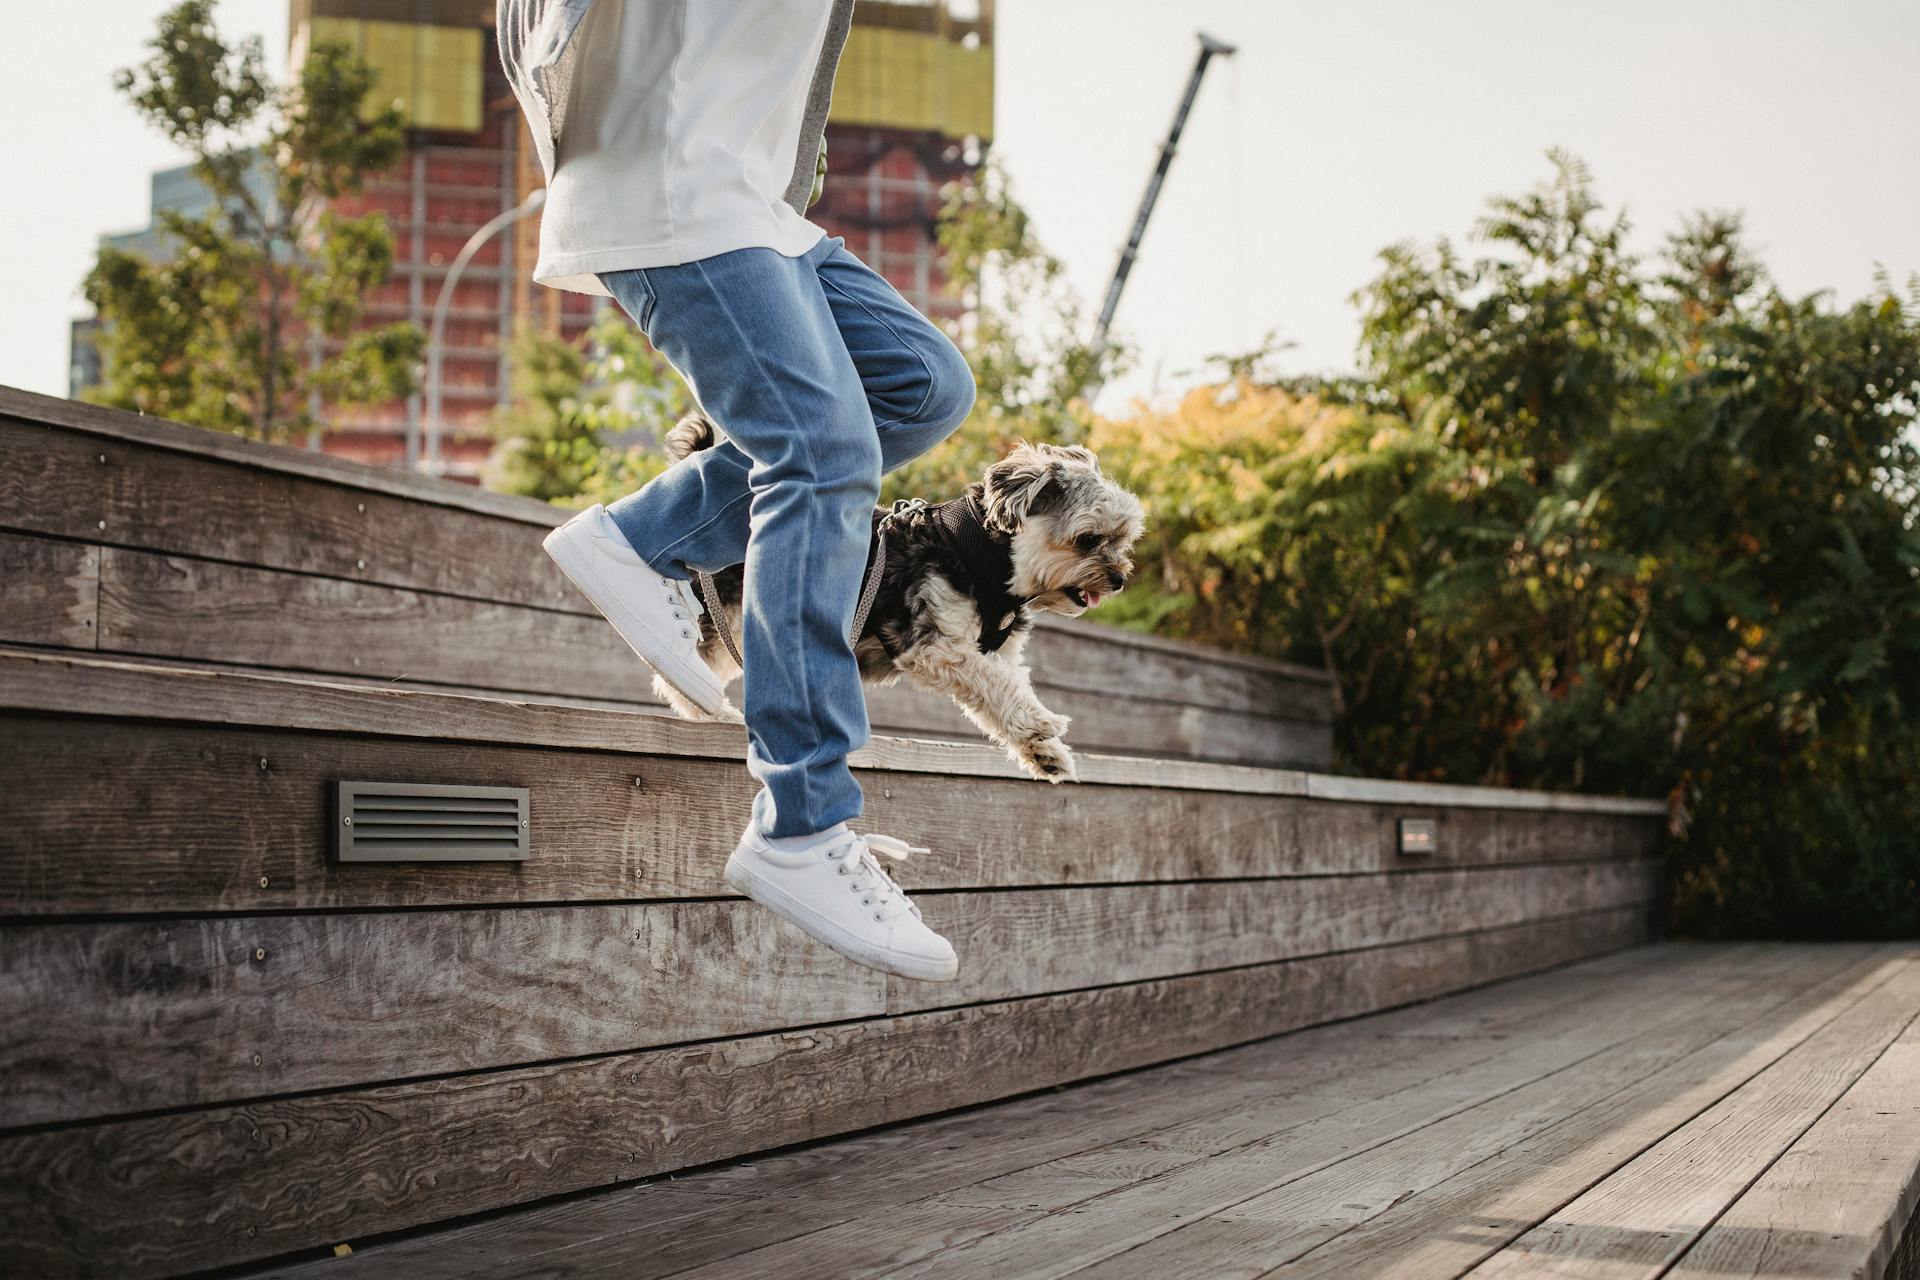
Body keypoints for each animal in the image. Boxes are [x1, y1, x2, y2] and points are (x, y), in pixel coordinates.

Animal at [652, 416, 1144, 786]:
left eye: (1125, 540)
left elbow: (1002, 692)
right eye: (1087, 539)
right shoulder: (935, 646)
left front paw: (1044, 752)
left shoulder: (991, 652)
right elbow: (998, 686)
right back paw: (712, 710)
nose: (1119, 579)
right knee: (679, 670)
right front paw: (1042, 723)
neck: (981, 557)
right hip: (721, 614)